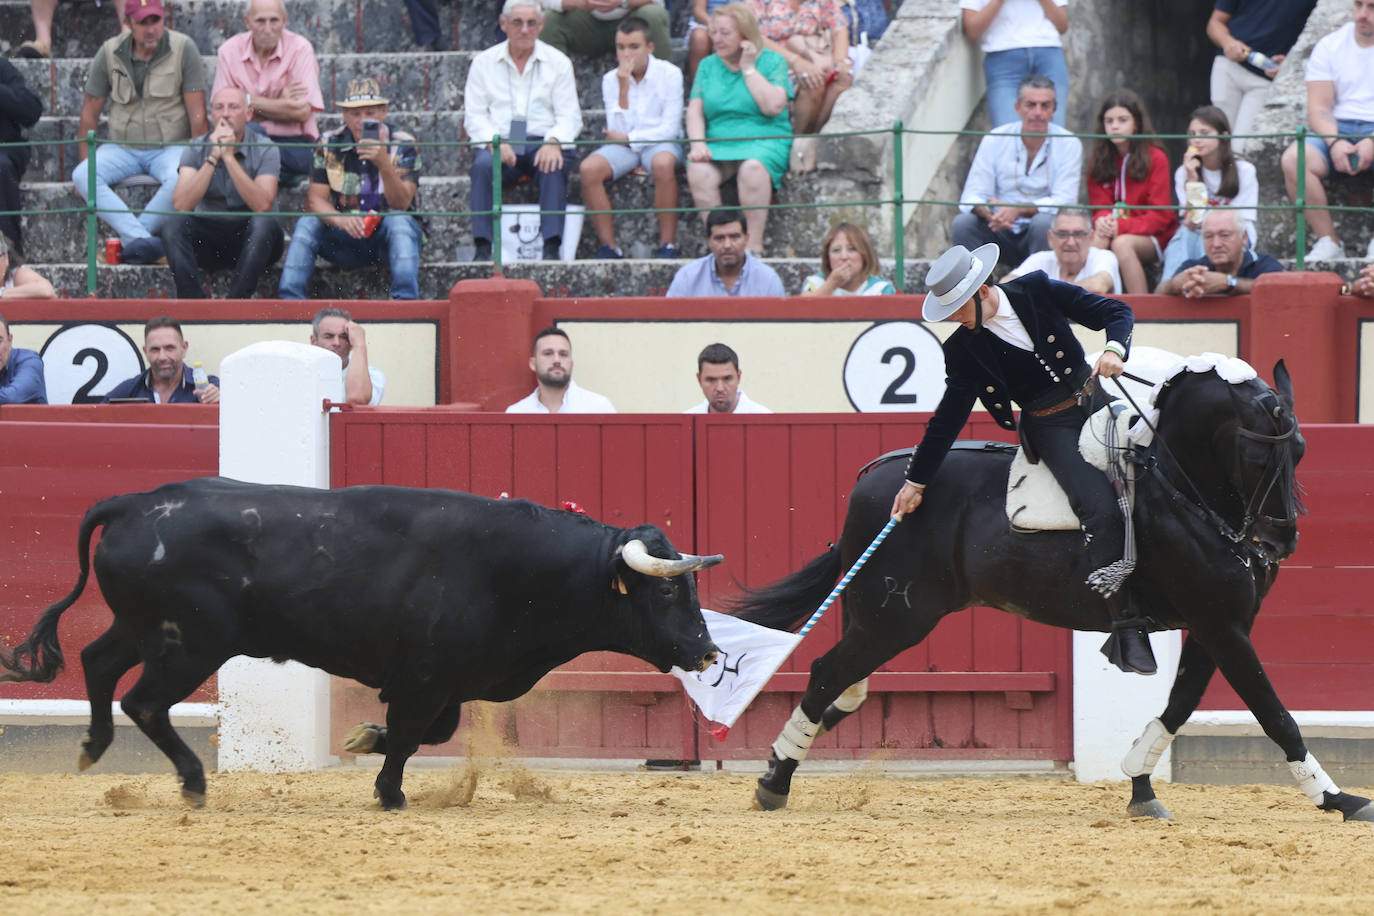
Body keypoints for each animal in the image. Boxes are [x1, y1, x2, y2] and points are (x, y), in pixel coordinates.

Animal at [0, 480, 725, 807]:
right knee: (145, 703)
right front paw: (389, 790)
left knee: (97, 664)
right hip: (189, 645)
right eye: (666, 594)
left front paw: (362, 741)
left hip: (142, 629)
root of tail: (131, 503)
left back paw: (92, 749)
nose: (708, 653)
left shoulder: (444, 683)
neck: (515, 569)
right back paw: (193, 782)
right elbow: (408, 736)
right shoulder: (424, 678)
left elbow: (427, 734)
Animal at [736, 359, 1374, 823]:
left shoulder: (1214, 626)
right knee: (827, 672)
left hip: (874, 616)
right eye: (1255, 453)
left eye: (1301, 450)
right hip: (896, 618)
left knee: (846, 685)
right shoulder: (1223, 626)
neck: (1179, 489)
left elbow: (1181, 704)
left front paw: (1141, 784)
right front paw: (1339, 799)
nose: (1279, 540)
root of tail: (883, 481)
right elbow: (1275, 714)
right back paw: (774, 781)